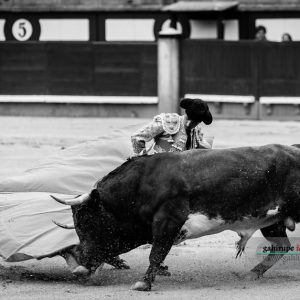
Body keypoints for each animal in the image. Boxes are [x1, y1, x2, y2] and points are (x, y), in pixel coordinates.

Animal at [52, 144, 300, 292]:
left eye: (87, 221)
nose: (79, 267)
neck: (140, 186)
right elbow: (157, 253)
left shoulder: (168, 220)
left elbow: (156, 252)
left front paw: (143, 283)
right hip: (273, 221)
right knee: (282, 246)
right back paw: (252, 274)